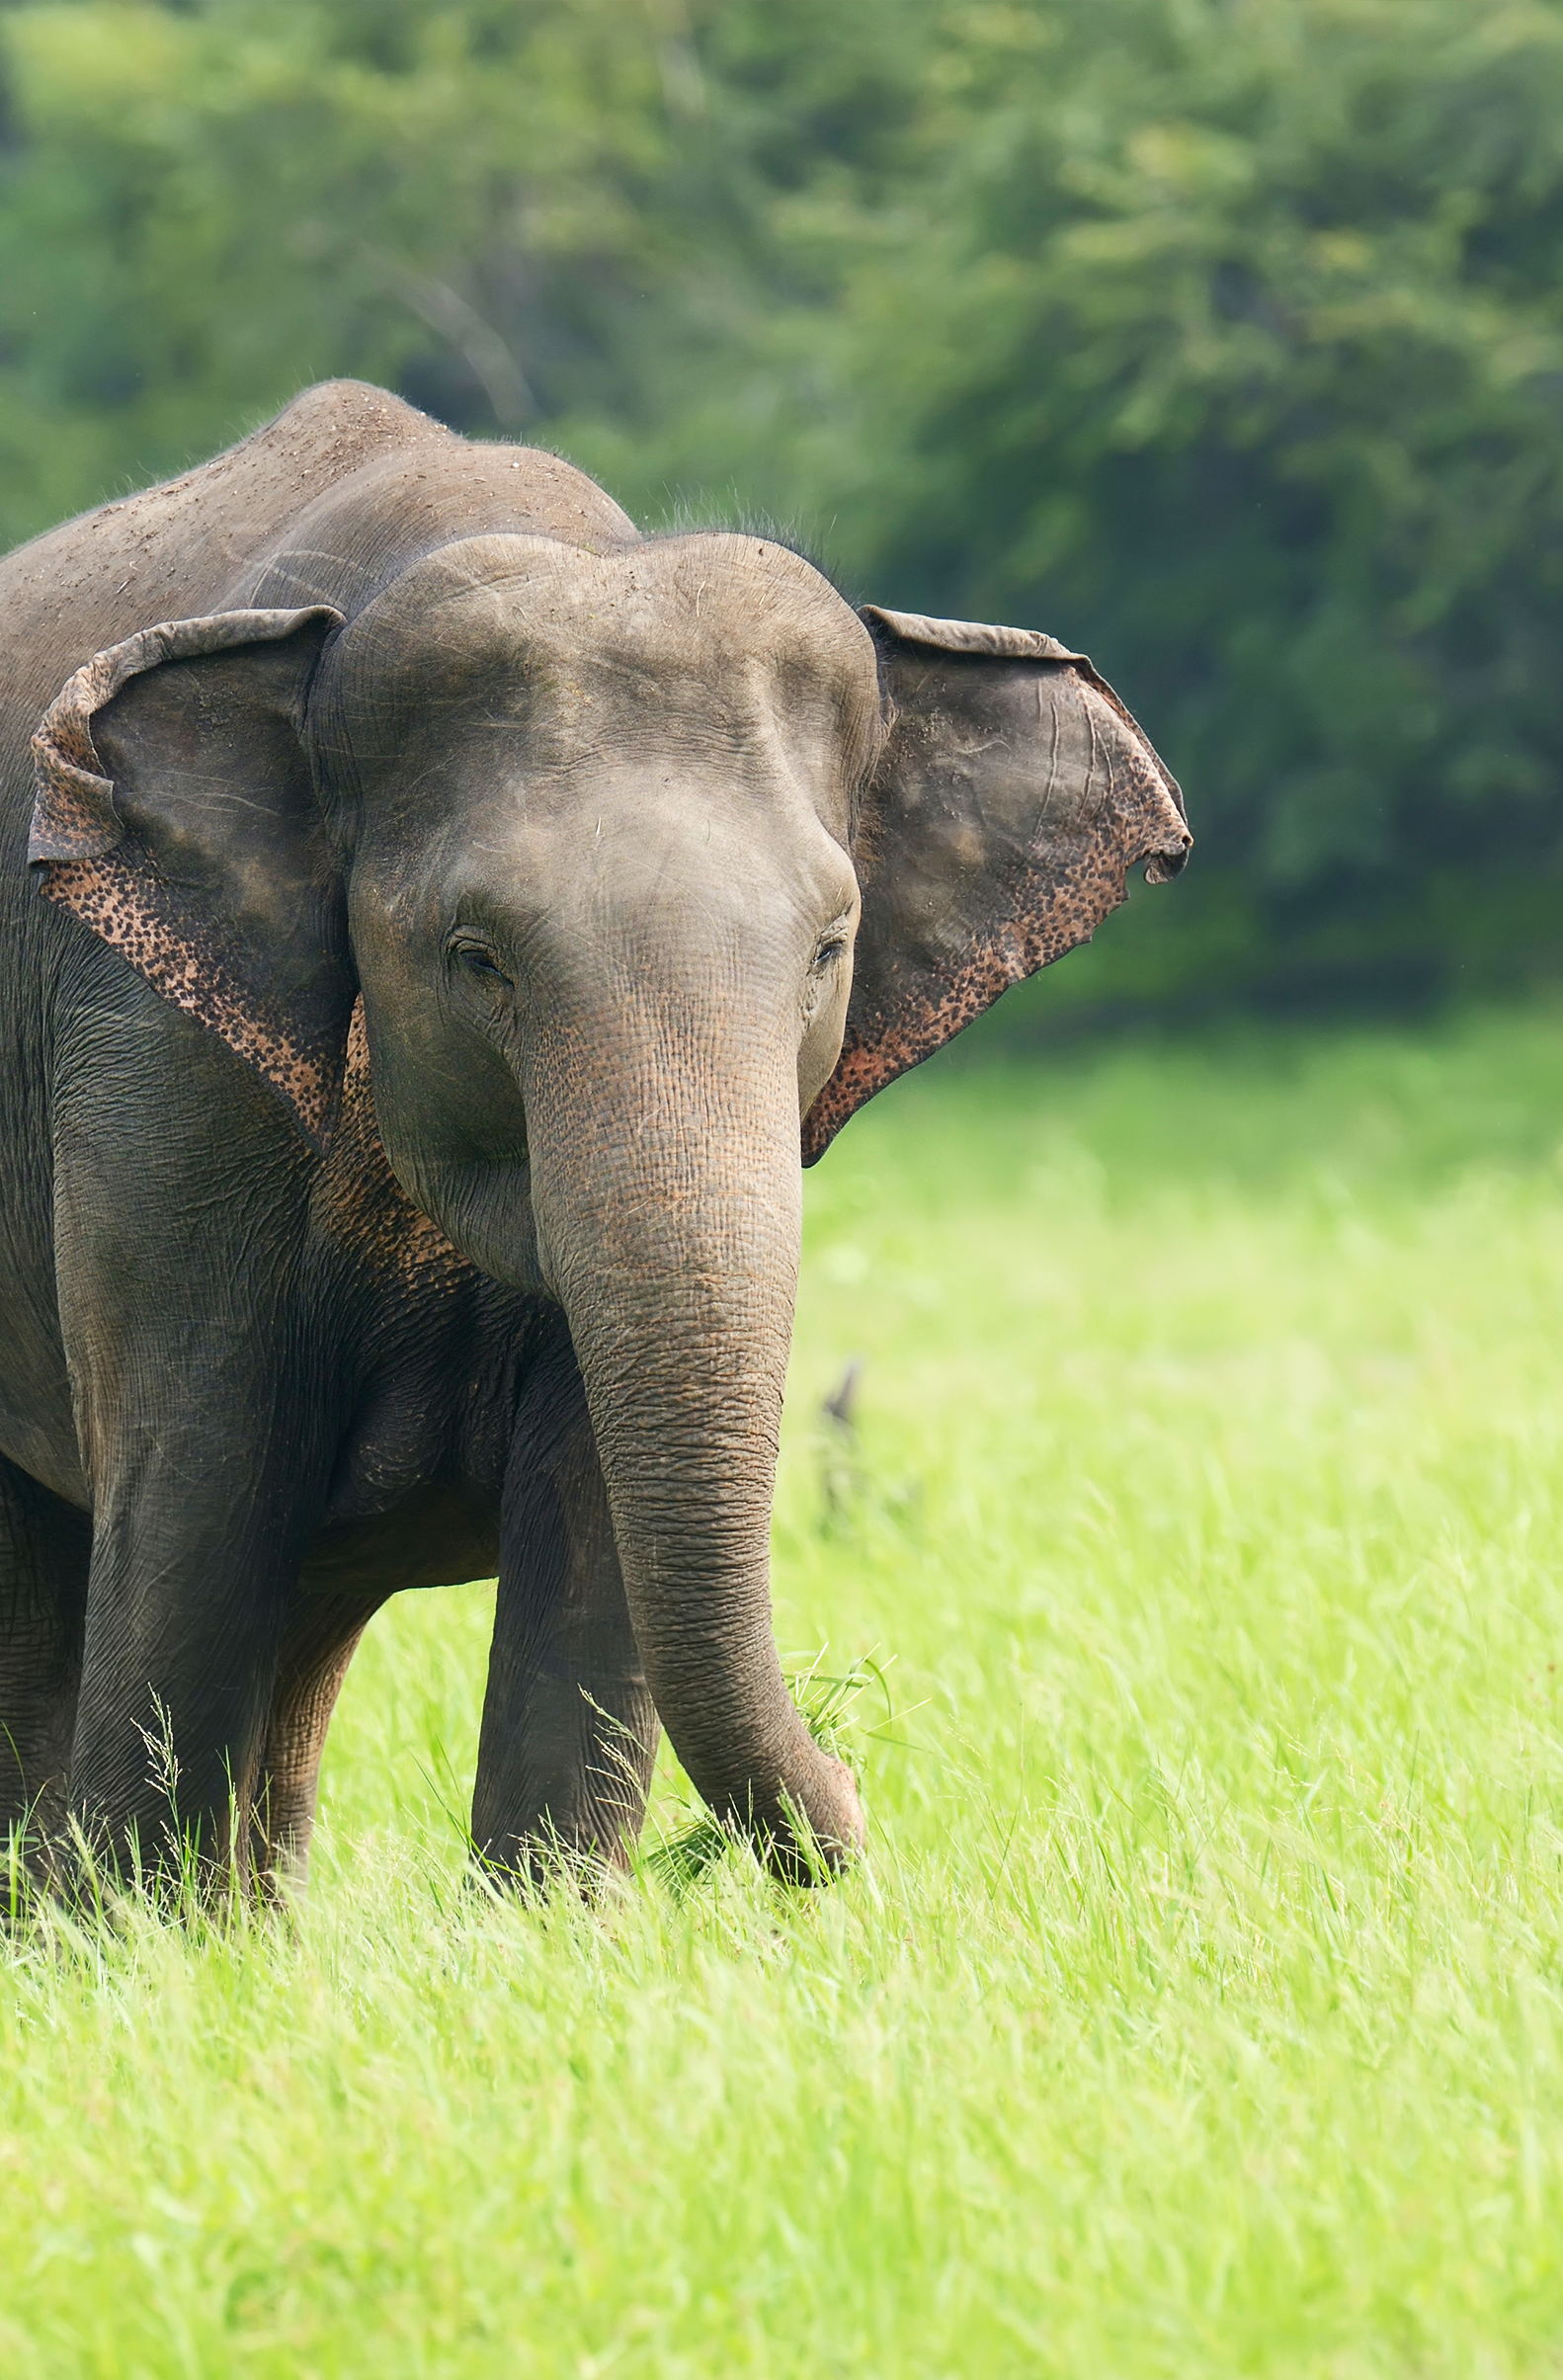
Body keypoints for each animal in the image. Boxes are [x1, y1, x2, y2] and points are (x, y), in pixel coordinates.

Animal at [0, 378, 1189, 1892]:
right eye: (477, 959)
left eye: (829, 947)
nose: (856, 1798)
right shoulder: (157, 1066)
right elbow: (197, 1493)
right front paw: (130, 1927)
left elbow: (593, 1525)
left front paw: (547, 1915)